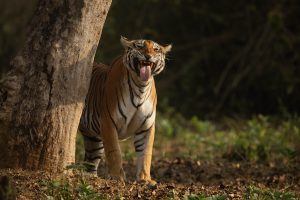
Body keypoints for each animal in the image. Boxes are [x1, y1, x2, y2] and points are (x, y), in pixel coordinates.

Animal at [79, 36, 171, 184]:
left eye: (156, 49)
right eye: (139, 46)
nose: (148, 56)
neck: (140, 87)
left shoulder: (146, 126)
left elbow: (146, 153)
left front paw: (145, 179)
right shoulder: (108, 122)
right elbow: (114, 151)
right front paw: (117, 177)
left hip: (93, 139)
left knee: (90, 162)